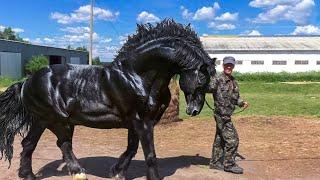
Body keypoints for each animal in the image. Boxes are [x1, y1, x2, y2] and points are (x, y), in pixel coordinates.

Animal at [0, 19, 215, 179]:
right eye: (202, 79)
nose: (194, 110)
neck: (137, 76)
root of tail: (26, 82)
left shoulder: (138, 122)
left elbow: (132, 148)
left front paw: (117, 171)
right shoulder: (142, 121)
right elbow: (149, 154)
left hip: (48, 121)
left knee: (37, 144)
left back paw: (36, 174)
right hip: (53, 120)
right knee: (56, 144)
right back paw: (71, 173)